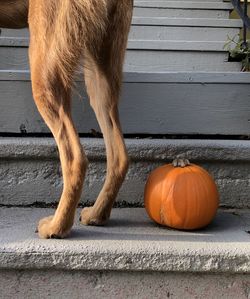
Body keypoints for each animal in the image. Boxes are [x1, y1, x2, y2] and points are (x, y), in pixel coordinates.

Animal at [0, 0, 135, 239]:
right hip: (101, 72)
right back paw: (97, 214)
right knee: (119, 156)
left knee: (75, 158)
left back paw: (57, 227)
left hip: (46, 68)